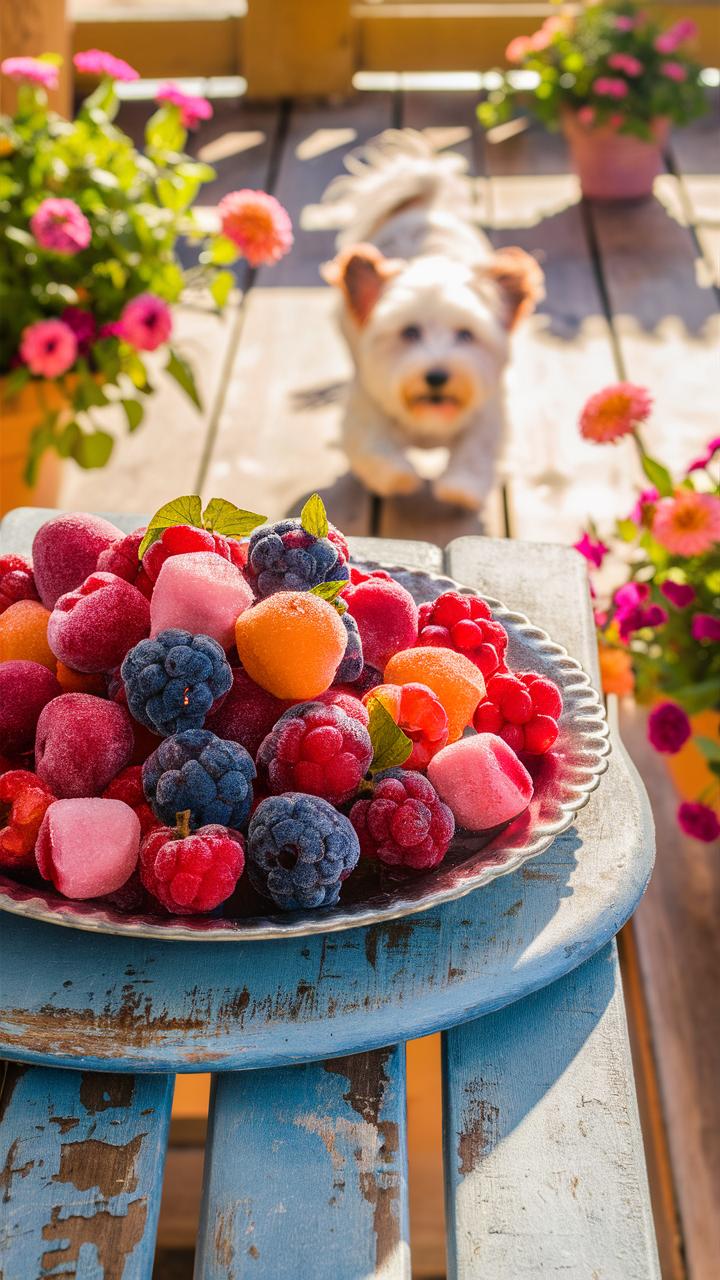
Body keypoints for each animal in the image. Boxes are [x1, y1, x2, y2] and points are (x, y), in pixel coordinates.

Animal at [319, 131, 538, 509]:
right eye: (409, 332)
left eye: (466, 334)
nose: (437, 376)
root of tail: (424, 204)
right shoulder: (367, 410)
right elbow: (377, 452)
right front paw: (401, 479)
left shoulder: (487, 417)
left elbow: (475, 453)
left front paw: (460, 489)